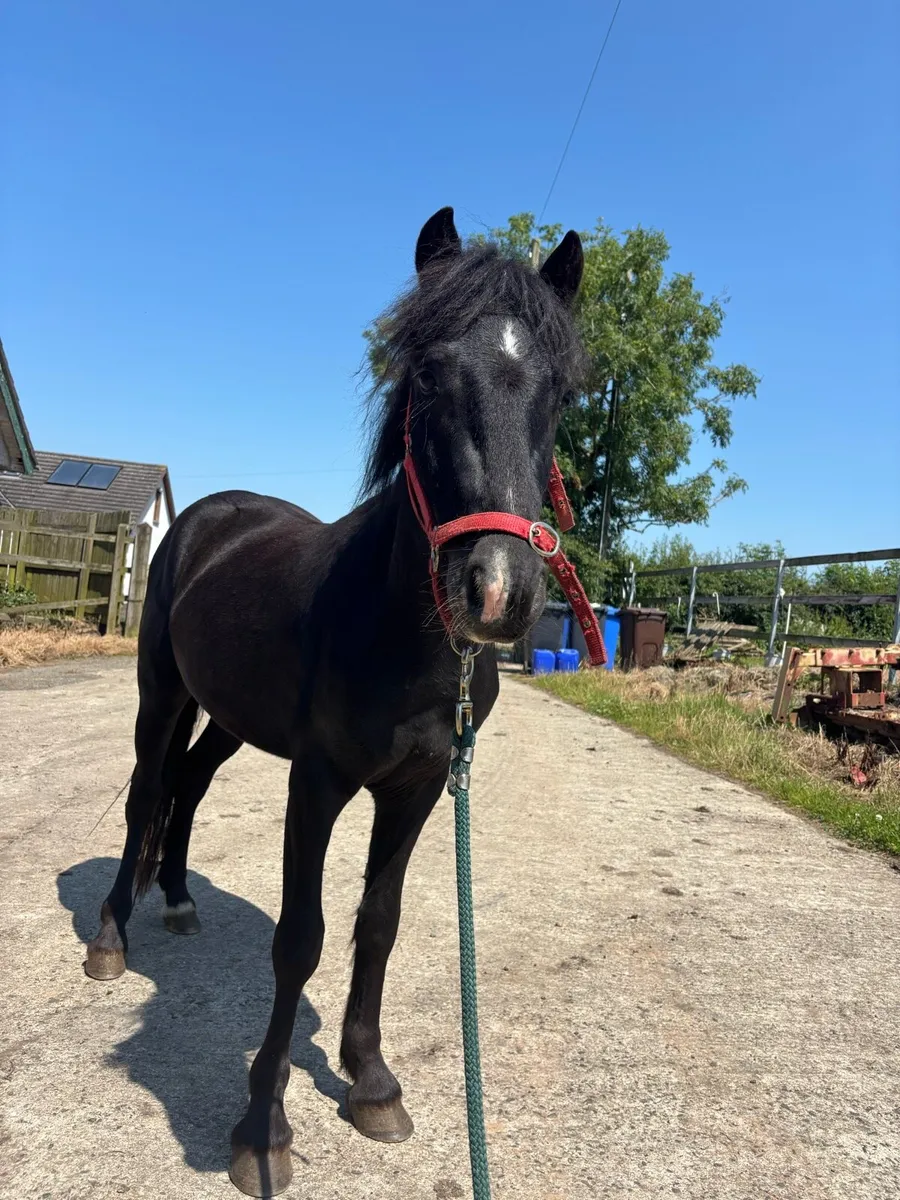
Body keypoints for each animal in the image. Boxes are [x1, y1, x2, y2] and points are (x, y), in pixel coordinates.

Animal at [84, 206, 587, 1197]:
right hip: (163, 693)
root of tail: (206, 515)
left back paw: (178, 900)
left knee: (188, 787)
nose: (499, 592)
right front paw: (262, 1129)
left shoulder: (420, 788)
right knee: (146, 792)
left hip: (230, 721)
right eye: (429, 375)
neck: (405, 639)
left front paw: (371, 1081)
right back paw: (115, 936)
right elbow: (302, 938)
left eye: (557, 390)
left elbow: (378, 925)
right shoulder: (316, 784)